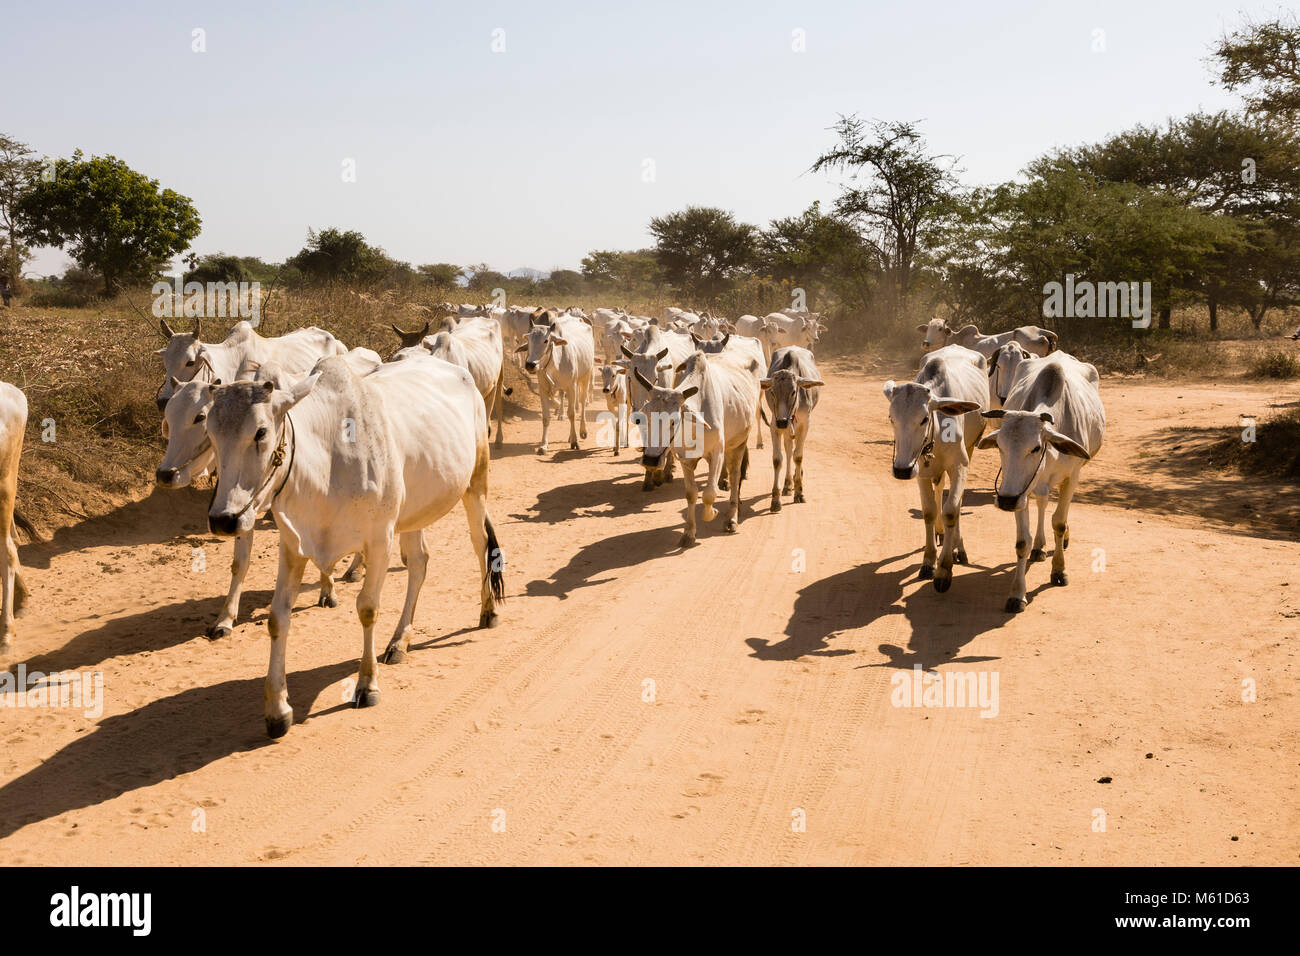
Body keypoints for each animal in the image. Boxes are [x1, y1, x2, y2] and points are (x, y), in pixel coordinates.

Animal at [205, 356, 504, 738]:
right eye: (210, 432)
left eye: (260, 432)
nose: (223, 519)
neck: (328, 460)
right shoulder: (293, 546)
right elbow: (277, 618)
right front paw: (277, 710)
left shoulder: (379, 540)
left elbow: (367, 608)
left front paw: (367, 684)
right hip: (412, 513)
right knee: (419, 562)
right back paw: (399, 641)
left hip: (476, 482)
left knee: (481, 545)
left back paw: (488, 610)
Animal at [759, 345, 821, 512]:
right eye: (772, 392)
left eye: (793, 392)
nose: (782, 421)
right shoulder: (774, 425)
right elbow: (778, 459)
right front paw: (776, 499)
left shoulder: (805, 424)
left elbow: (798, 456)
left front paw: (799, 492)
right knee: (788, 449)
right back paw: (787, 484)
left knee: (793, 451)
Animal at [883, 343, 982, 590]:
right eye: (891, 418)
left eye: (924, 419)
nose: (901, 470)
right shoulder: (921, 471)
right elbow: (929, 511)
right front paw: (929, 561)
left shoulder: (960, 465)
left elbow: (951, 510)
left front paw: (944, 569)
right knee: (938, 491)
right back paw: (940, 533)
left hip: (970, 449)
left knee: (956, 502)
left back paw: (958, 546)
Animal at [977, 351, 1102, 613]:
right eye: (1000, 446)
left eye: (1035, 447)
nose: (1005, 501)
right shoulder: (1020, 491)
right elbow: (1022, 541)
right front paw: (1017, 594)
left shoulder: (1072, 478)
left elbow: (1059, 522)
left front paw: (1059, 570)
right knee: (1043, 503)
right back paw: (1039, 547)